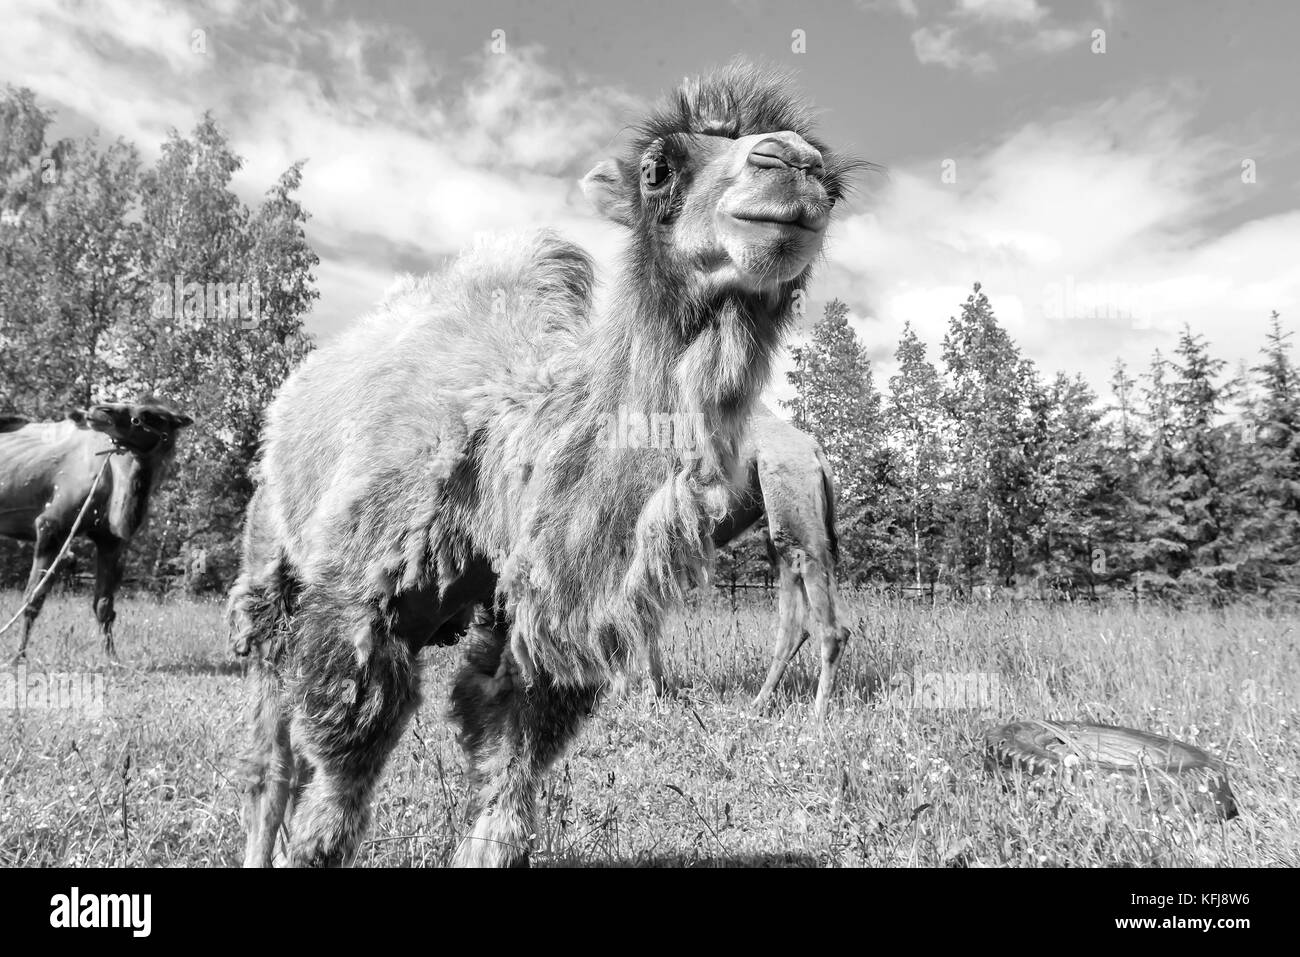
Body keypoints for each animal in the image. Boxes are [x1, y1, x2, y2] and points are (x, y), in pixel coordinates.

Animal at [0, 398, 193, 659]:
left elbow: (103, 605)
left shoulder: (111, 541)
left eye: (149, 414)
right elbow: (33, 598)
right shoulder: (52, 526)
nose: (101, 410)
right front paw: (18, 656)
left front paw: (112, 658)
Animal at [645, 406, 851, 719]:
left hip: (789, 506)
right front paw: (659, 693)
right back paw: (759, 704)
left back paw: (816, 715)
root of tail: (816, 452)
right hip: (784, 526)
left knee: (830, 626)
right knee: (796, 617)